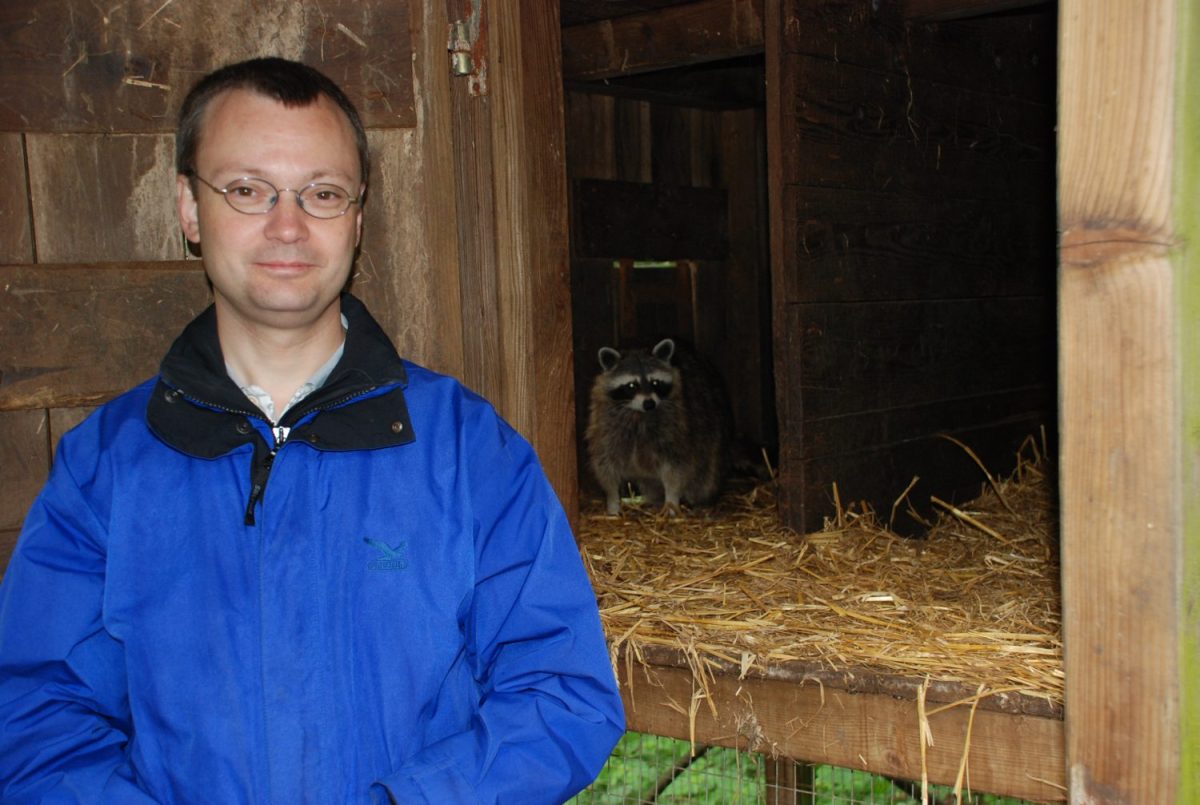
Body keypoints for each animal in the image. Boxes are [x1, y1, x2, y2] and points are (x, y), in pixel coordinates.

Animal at [583, 338, 724, 515]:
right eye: (631, 386)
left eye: (655, 382)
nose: (649, 403)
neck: (639, 414)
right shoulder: (605, 425)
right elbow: (606, 465)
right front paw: (613, 501)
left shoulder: (676, 426)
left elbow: (676, 467)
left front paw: (672, 501)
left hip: (709, 429)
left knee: (705, 477)